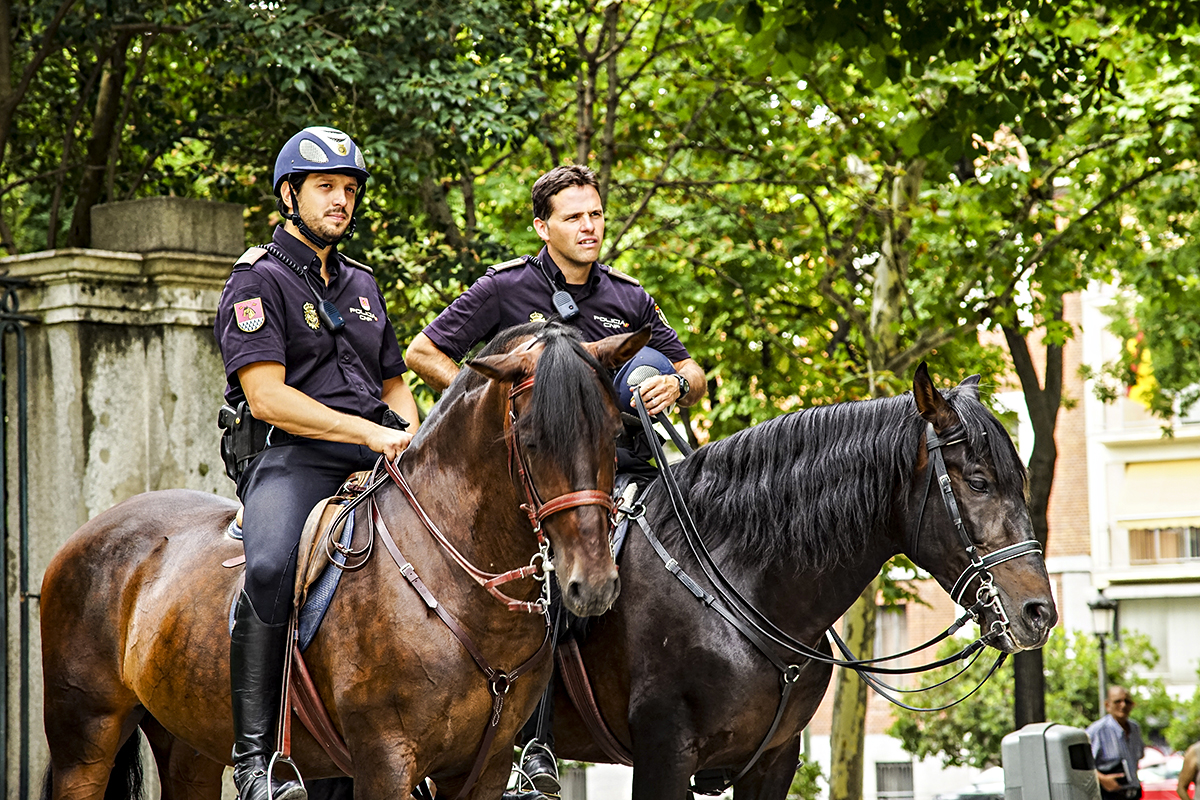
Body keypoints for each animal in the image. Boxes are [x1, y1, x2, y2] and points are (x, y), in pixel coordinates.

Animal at [39, 321, 648, 800]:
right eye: (531, 435)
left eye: (615, 430)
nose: (593, 584)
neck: (459, 585)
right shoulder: (385, 761)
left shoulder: (485, 769)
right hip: (85, 740)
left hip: (190, 741)